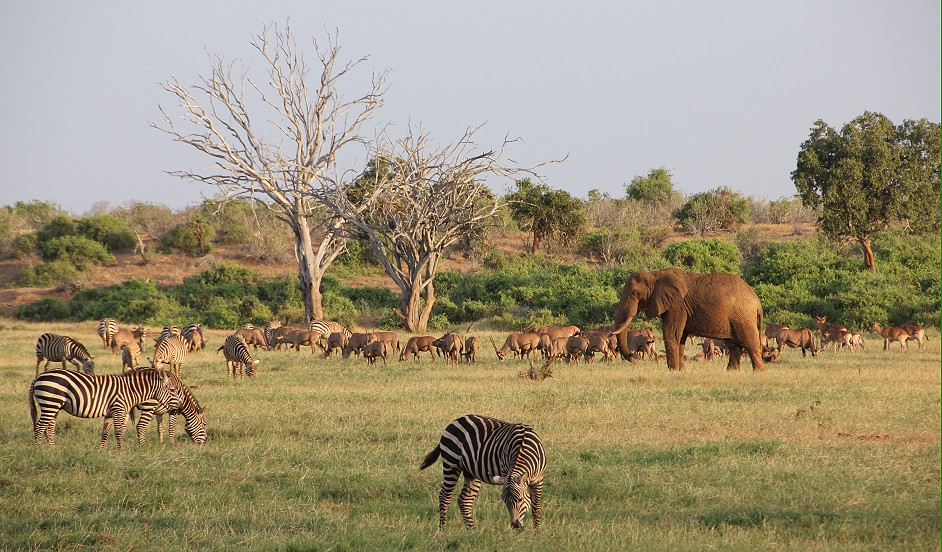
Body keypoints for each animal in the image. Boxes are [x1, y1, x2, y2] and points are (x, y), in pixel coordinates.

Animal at [28, 368, 176, 450]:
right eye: (172, 390)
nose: (177, 409)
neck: (130, 390)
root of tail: (38, 377)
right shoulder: (118, 409)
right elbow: (118, 432)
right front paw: (120, 451)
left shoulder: (110, 413)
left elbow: (105, 433)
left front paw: (101, 451)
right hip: (50, 403)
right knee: (40, 427)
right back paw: (38, 450)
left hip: (54, 406)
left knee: (49, 428)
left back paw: (52, 449)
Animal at [612, 268, 768, 370]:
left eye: (634, 294)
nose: (635, 358)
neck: (656, 274)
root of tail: (757, 301)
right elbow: (680, 338)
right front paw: (680, 371)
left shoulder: (677, 305)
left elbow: (672, 334)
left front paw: (673, 371)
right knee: (733, 346)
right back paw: (732, 372)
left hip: (743, 316)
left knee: (750, 343)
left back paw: (759, 372)